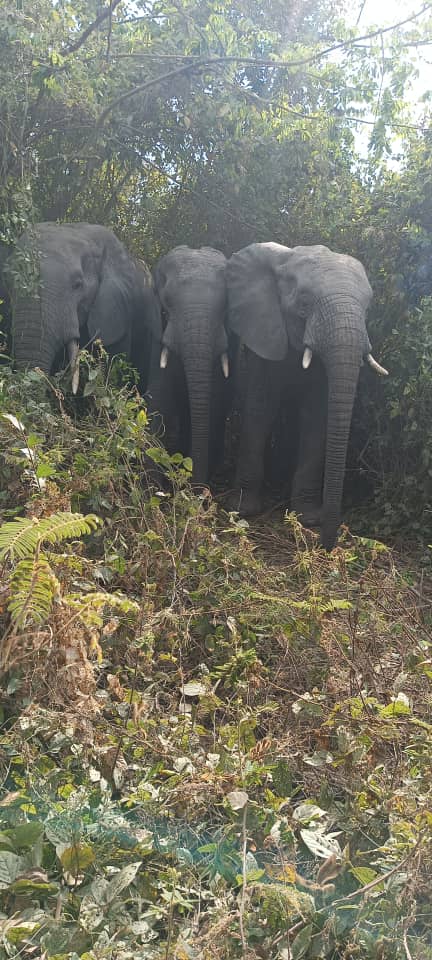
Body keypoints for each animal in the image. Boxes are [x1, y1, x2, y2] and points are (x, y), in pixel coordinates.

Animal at [226, 242, 388, 550]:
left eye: (368, 309)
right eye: (304, 304)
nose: (327, 545)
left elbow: (316, 416)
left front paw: (308, 518)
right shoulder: (264, 333)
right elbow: (261, 408)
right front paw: (242, 510)